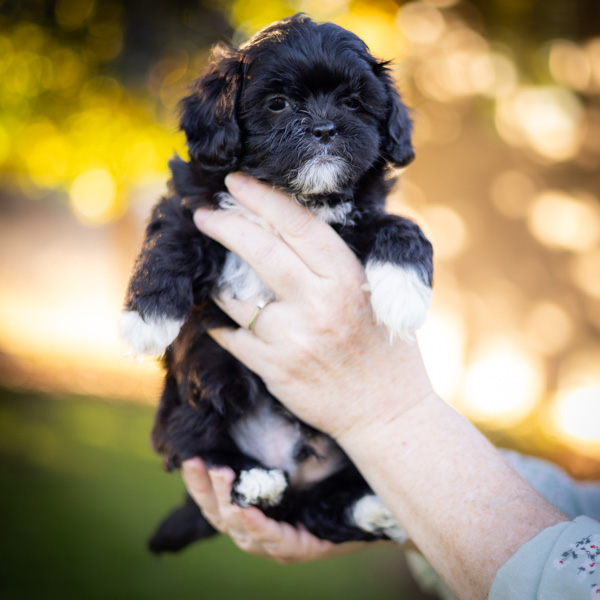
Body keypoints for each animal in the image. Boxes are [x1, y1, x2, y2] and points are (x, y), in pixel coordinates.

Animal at [119, 14, 434, 556]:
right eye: (278, 103)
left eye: (354, 103)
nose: (325, 128)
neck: (296, 197)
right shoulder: (197, 203)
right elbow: (172, 239)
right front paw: (148, 318)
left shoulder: (355, 221)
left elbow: (399, 224)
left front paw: (403, 291)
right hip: (188, 402)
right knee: (195, 447)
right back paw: (255, 478)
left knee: (317, 509)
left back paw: (372, 509)